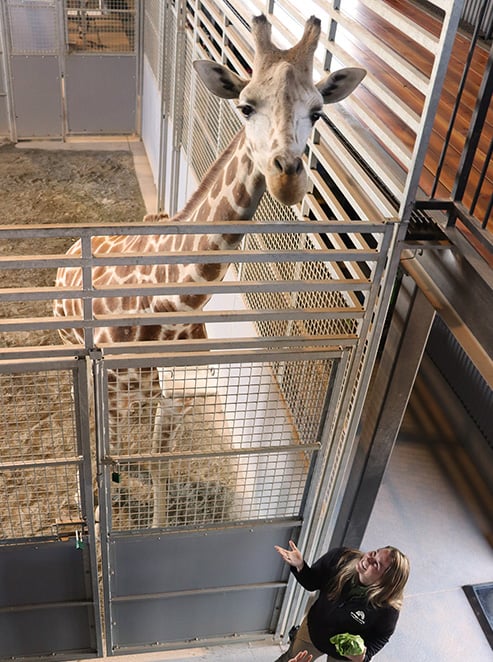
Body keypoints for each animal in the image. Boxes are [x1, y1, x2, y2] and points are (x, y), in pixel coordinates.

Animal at [54, 14, 366, 527]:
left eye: (318, 112)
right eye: (245, 105)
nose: (288, 177)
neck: (169, 304)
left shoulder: (175, 395)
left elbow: (161, 462)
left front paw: (156, 524)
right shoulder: (114, 387)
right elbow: (102, 446)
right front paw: (104, 507)